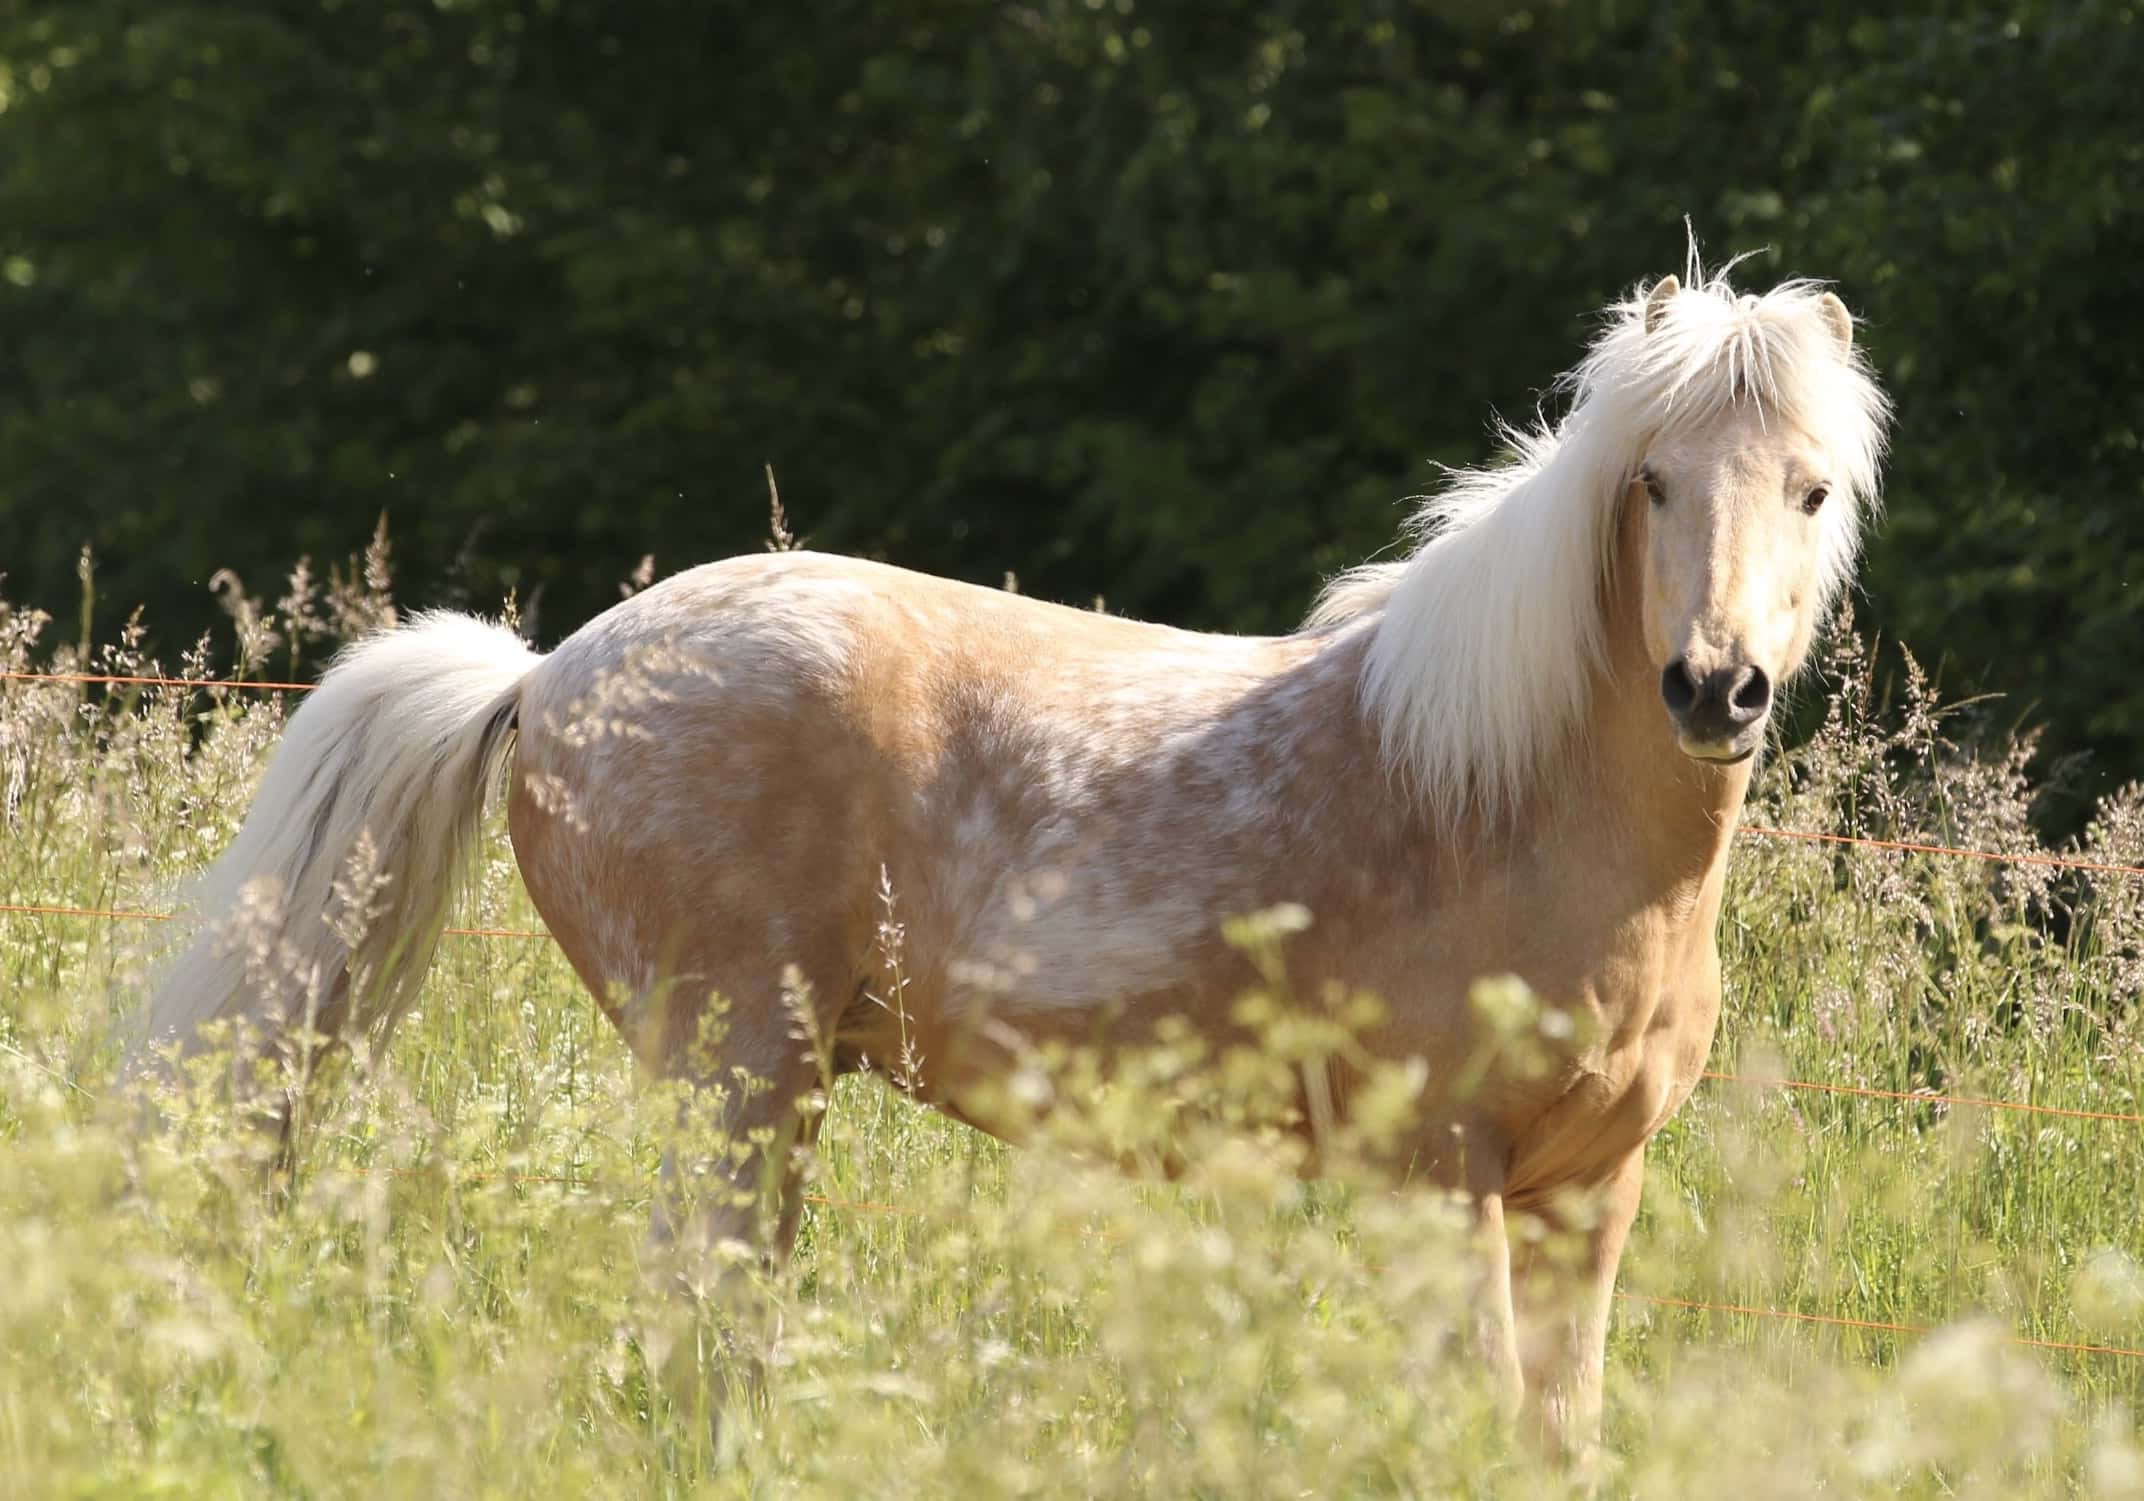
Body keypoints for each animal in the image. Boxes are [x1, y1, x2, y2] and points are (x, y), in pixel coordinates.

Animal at [130, 259, 1890, 1459]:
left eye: (1813, 489)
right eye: (1650, 483)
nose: (1715, 688)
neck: (1500, 801)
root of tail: (547, 670)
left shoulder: (1588, 1189)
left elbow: (1555, 1434)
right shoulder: (1435, 1176)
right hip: (738, 1077)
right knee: (704, 1327)